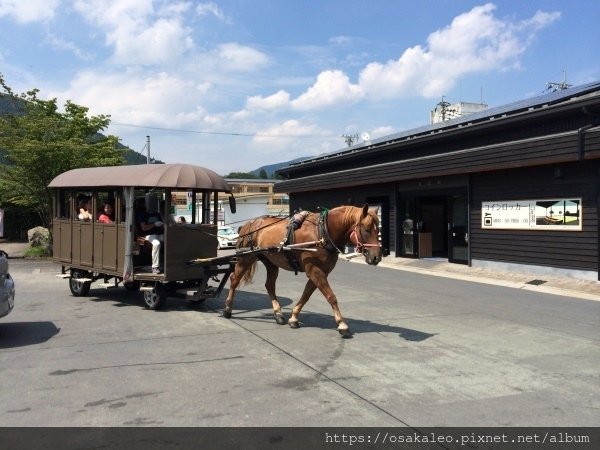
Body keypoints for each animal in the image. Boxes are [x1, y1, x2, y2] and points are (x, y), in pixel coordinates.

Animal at [223, 206, 382, 336]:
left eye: (378, 229)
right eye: (367, 229)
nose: (377, 257)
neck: (322, 232)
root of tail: (248, 224)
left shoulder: (319, 272)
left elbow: (306, 295)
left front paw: (294, 317)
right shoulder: (315, 270)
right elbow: (331, 296)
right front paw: (342, 324)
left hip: (271, 261)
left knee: (270, 285)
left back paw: (278, 313)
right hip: (245, 258)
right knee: (234, 280)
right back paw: (228, 309)